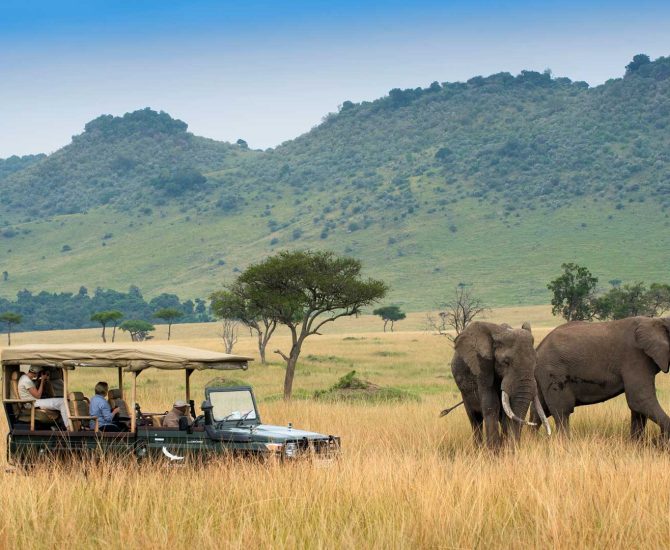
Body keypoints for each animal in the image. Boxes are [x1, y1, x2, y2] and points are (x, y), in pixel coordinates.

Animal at [533, 316, 670, 439]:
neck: (658, 320)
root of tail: (538, 348)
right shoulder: (635, 356)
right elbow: (640, 399)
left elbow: (638, 406)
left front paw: (636, 443)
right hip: (554, 371)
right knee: (562, 411)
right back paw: (565, 443)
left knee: (540, 411)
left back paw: (531, 439)